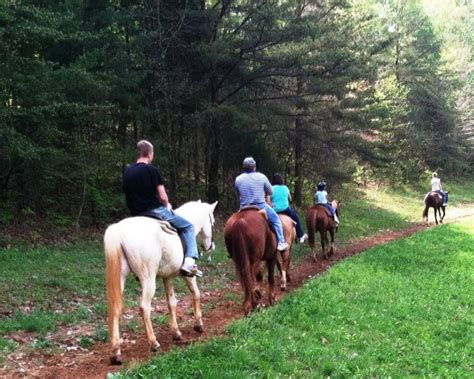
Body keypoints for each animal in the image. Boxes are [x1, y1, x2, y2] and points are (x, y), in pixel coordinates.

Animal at [104, 202, 218, 366]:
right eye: (213, 222)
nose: (210, 246)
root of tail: (118, 230)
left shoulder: (167, 277)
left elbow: (171, 303)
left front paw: (176, 333)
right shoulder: (188, 275)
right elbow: (196, 293)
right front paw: (198, 325)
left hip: (120, 278)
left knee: (114, 309)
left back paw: (116, 353)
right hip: (148, 278)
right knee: (144, 307)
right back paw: (154, 343)